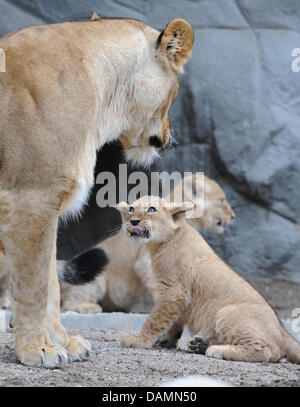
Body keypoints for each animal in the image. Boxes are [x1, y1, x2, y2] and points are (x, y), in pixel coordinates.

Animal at [0, 17, 193, 368]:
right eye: (175, 90)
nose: (171, 137)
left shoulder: (44, 208)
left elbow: (50, 283)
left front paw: (62, 342)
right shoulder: (30, 198)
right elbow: (35, 285)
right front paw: (38, 349)